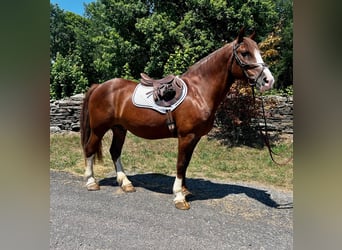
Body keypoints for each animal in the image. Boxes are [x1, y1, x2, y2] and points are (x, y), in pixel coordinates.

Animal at [79, 28, 274, 209]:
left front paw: (185, 190)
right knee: (89, 149)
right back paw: (91, 182)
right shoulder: (186, 136)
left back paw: (126, 183)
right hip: (99, 129)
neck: (198, 92)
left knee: (115, 151)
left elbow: (186, 163)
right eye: (245, 53)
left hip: (120, 128)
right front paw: (179, 197)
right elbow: (180, 164)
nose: (268, 81)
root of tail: (99, 86)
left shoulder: (195, 137)